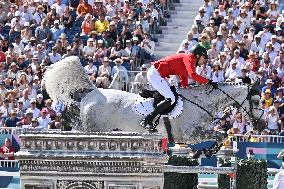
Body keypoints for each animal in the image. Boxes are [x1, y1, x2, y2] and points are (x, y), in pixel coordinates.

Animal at [43, 56, 264, 144]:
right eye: (255, 101)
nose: (261, 126)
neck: (201, 103)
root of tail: (94, 92)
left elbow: (222, 135)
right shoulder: (191, 134)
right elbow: (220, 136)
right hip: (94, 129)